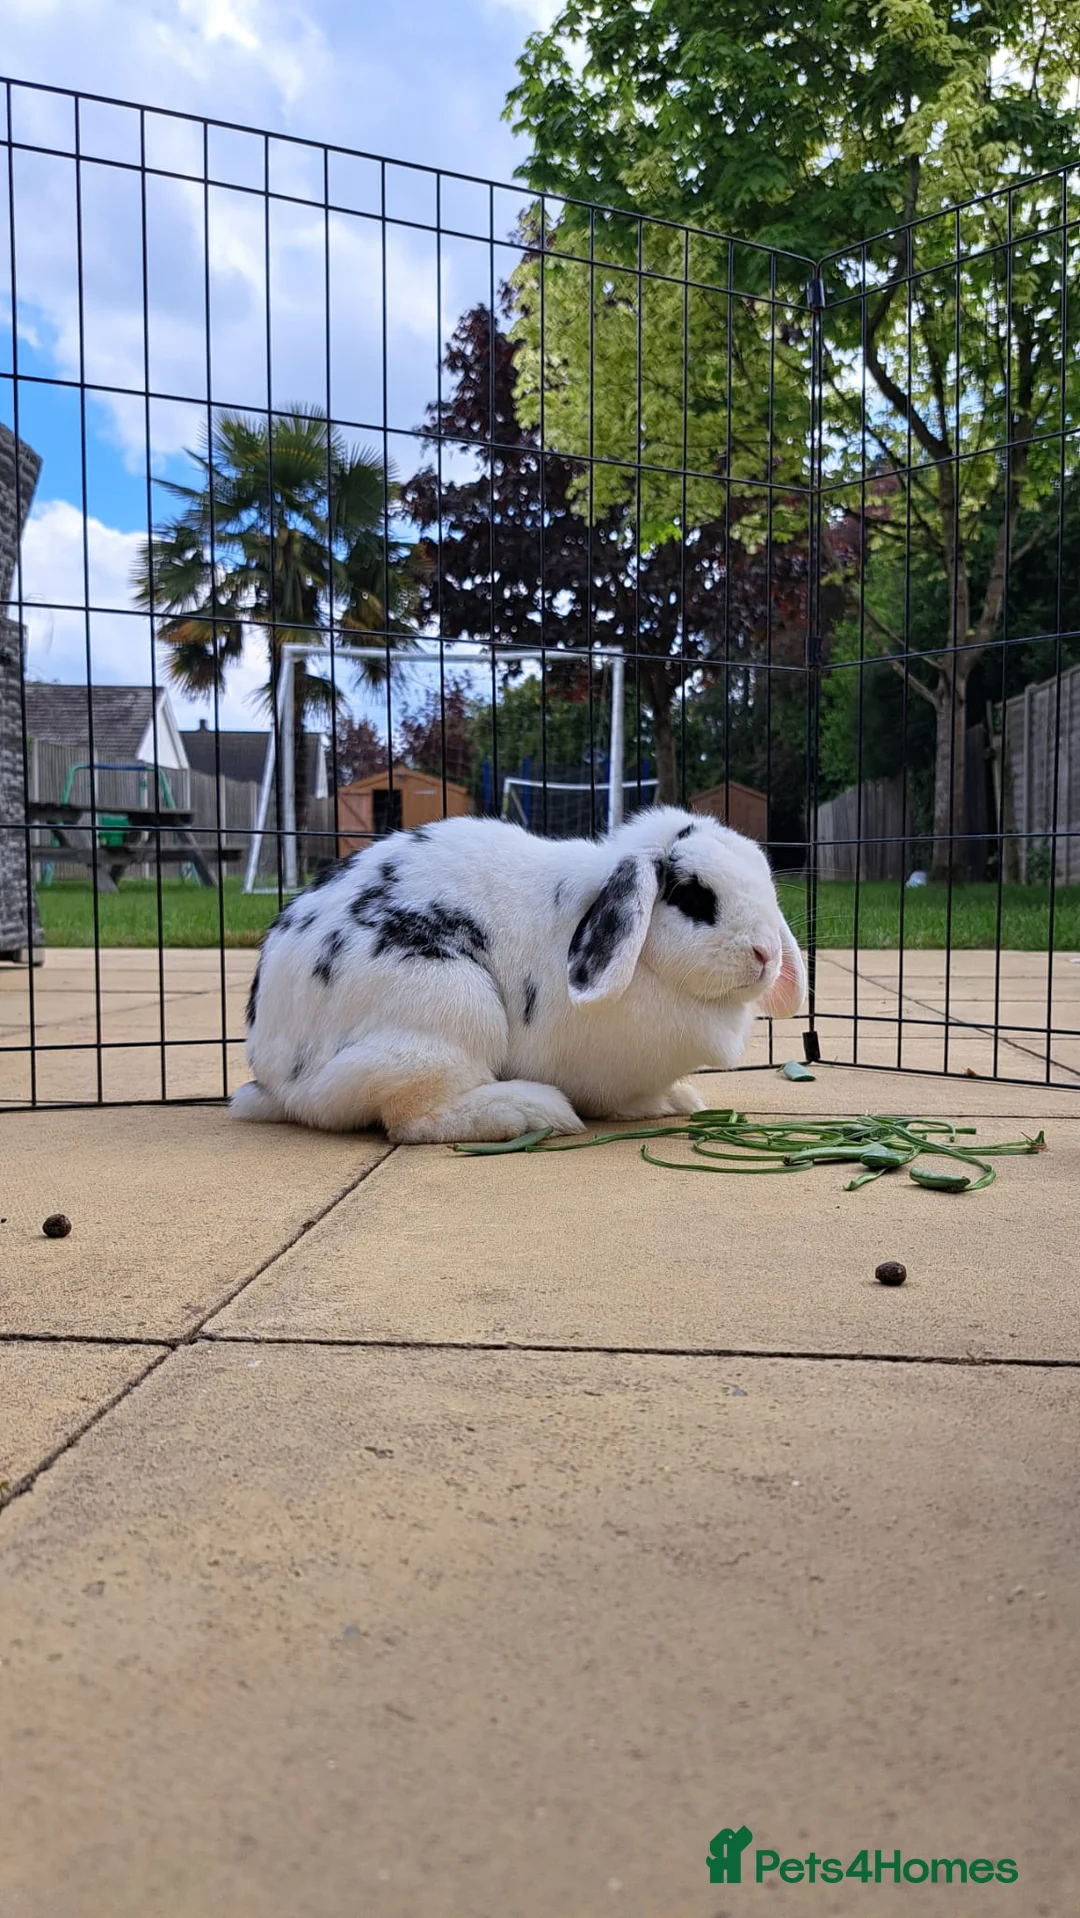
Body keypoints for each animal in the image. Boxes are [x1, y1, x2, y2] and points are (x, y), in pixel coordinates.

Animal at [231, 805, 807, 1143]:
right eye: (693, 897)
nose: (766, 953)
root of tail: (278, 1075)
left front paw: (677, 1101)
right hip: (446, 1008)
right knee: (412, 1117)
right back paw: (533, 1113)